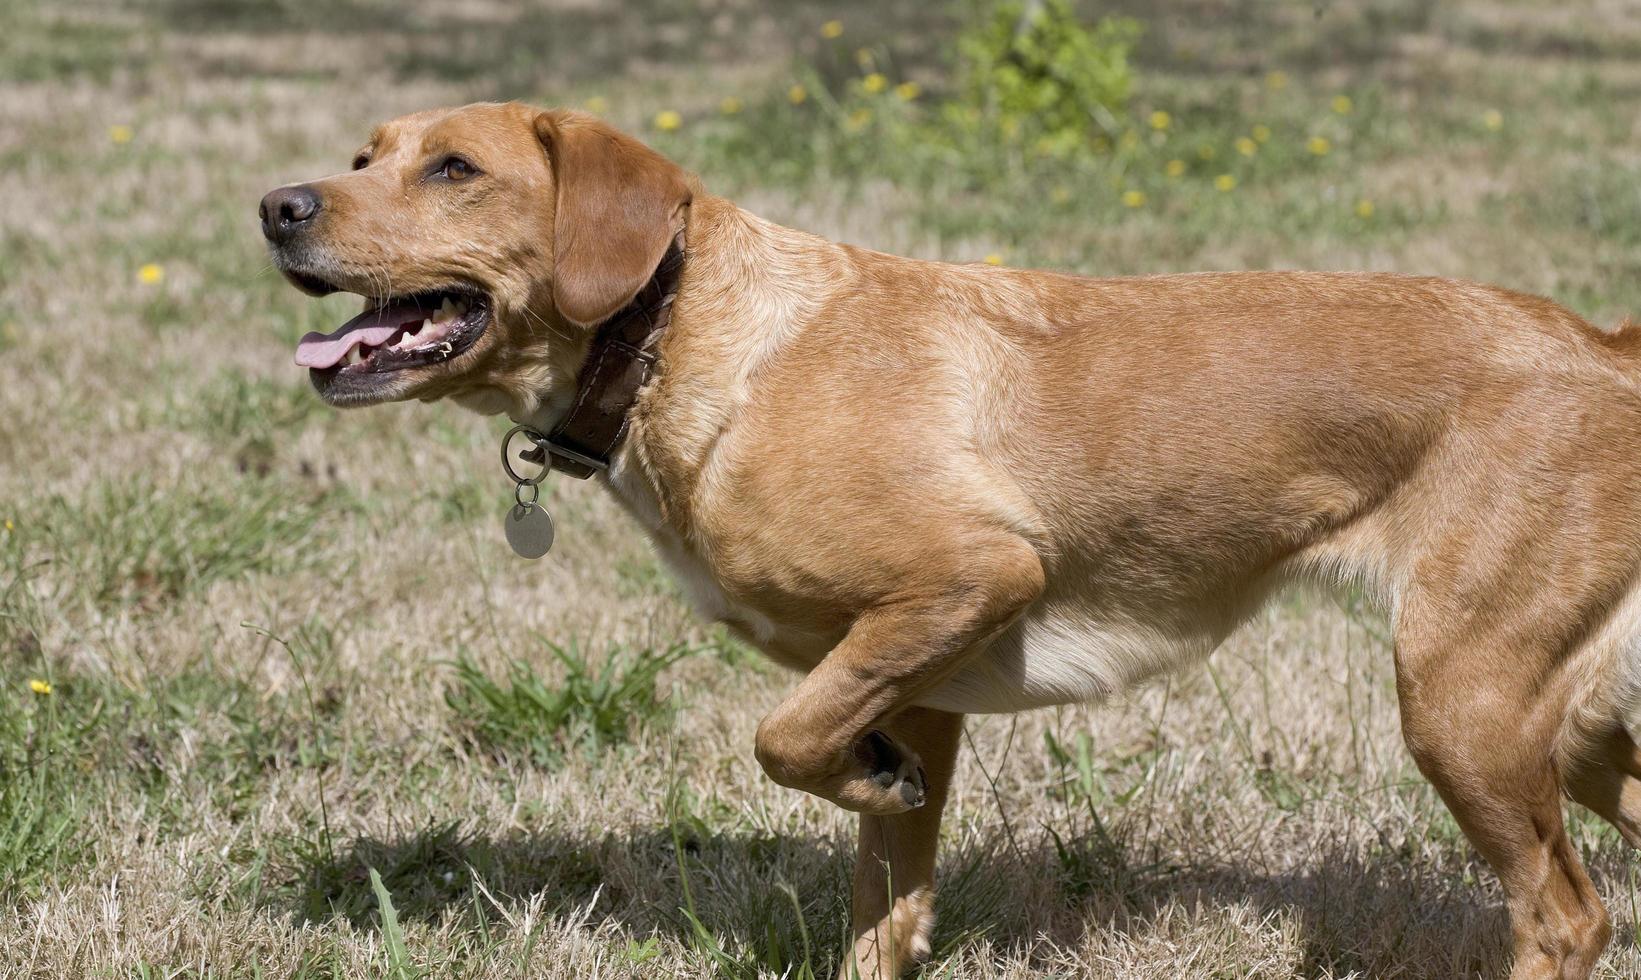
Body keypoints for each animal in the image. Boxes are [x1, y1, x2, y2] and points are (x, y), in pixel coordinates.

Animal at [262, 101, 1641, 978]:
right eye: (365, 153)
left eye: (454, 169)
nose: (276, 205)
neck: (681, 337)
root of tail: (1602, 343)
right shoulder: (915, 688)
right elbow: (878, 898)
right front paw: (878, 803)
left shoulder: (970, 577)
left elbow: (782, 738)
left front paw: (860, 776)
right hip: (1570, 736)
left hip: (1465, 699)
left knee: (1566, 919)